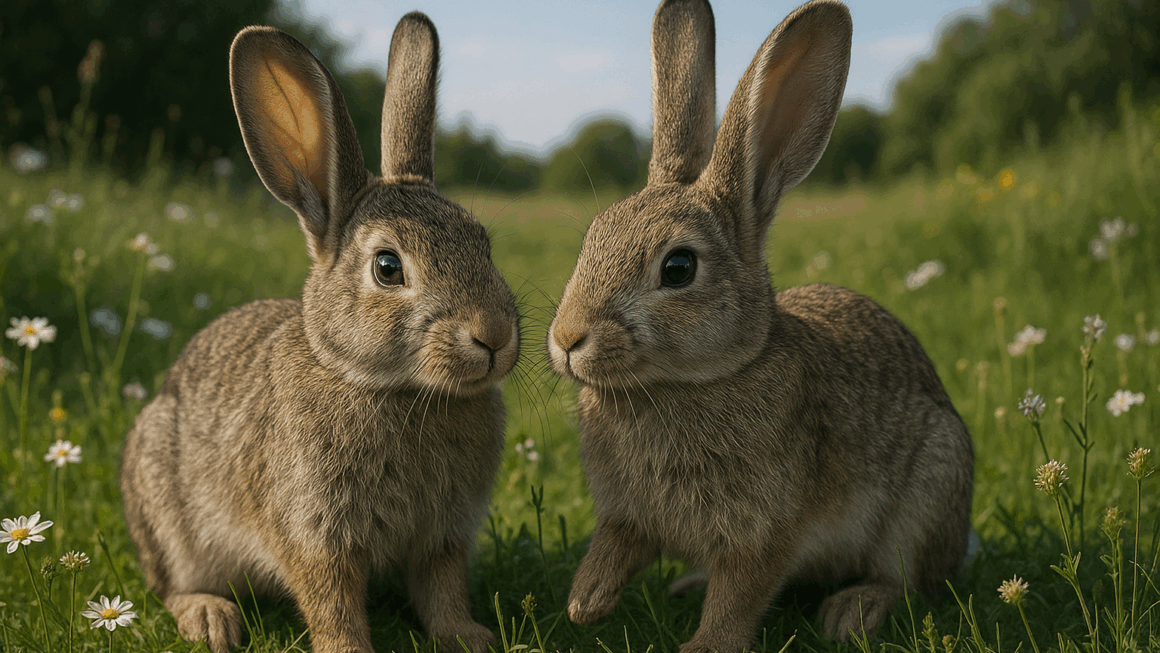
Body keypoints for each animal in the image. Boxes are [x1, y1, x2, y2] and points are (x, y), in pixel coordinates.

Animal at [119, 13, 519, 653]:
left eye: (482, 242)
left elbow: (443, 590)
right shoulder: (312, 531)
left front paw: (468, 637)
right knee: (170, 584)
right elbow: (331, 602)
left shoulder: (443, 535)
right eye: (388, 267)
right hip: (167, 513)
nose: (495, 336)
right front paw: (350, 648)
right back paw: (210, 618)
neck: (389, 386)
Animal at [546, 0, 974, 650]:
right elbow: (617, 545)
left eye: (678, 268)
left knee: (907, 577)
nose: (567, 338)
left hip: (929, 488)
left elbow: (740, 594)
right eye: (592, 237)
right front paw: (585, 602)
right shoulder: (629, 517)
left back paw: (853, 611)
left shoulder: (765, 532)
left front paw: (703, 646)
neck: (691, 382)